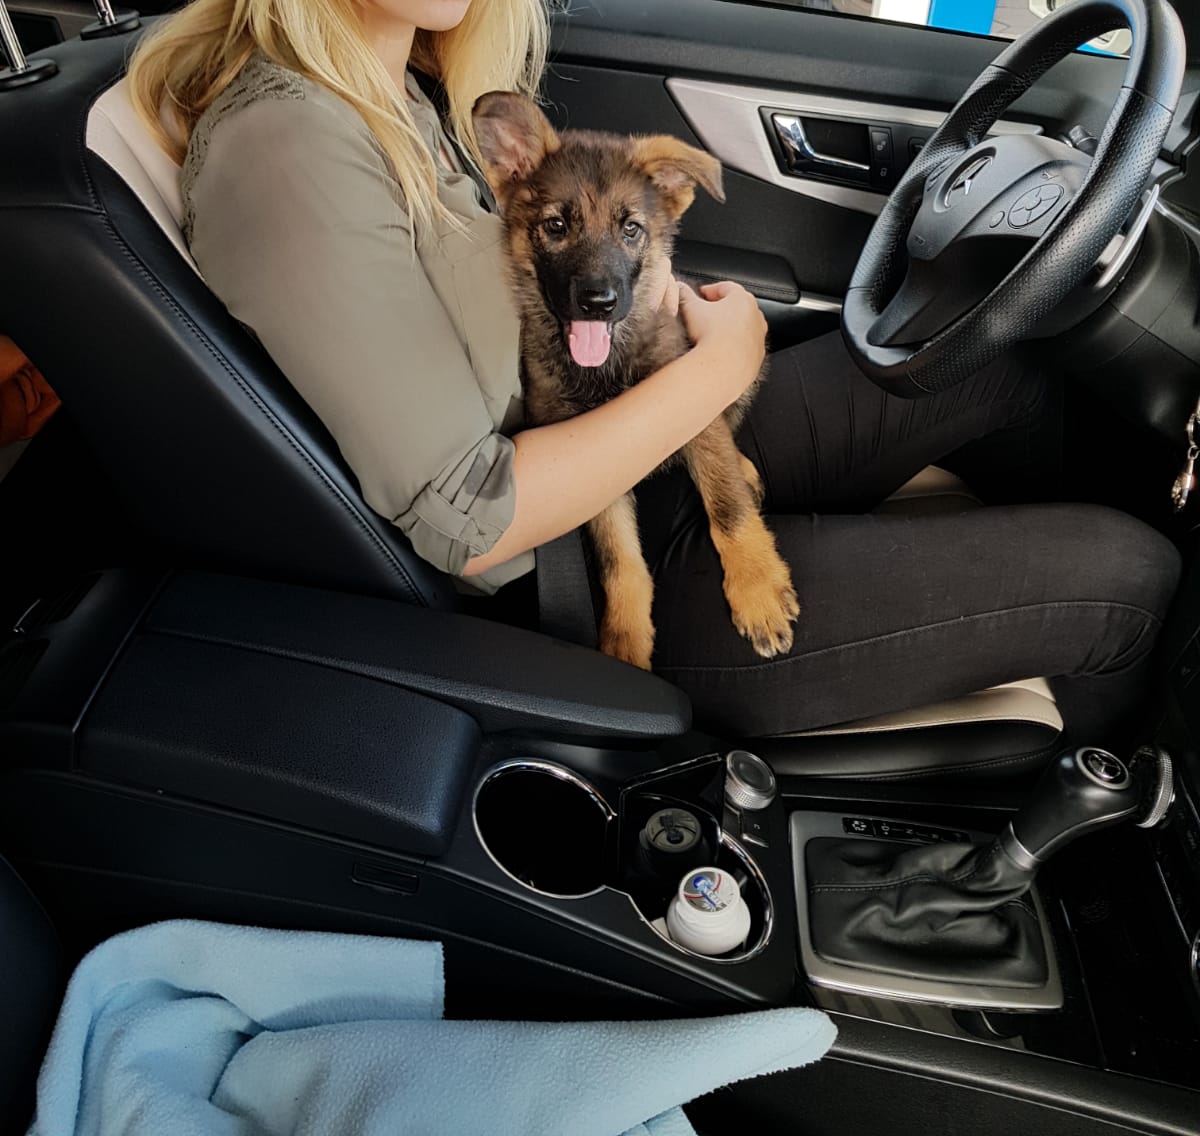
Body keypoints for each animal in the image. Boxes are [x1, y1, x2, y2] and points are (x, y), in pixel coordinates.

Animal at [472, 92, 799, 670]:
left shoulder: (693, 398)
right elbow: (618, 558)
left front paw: (757, 588)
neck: (608, 365)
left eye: (631, 229)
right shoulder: (595, 460)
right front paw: (624, 637)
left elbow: (728, 506)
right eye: (556, 226)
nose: (598, 303)